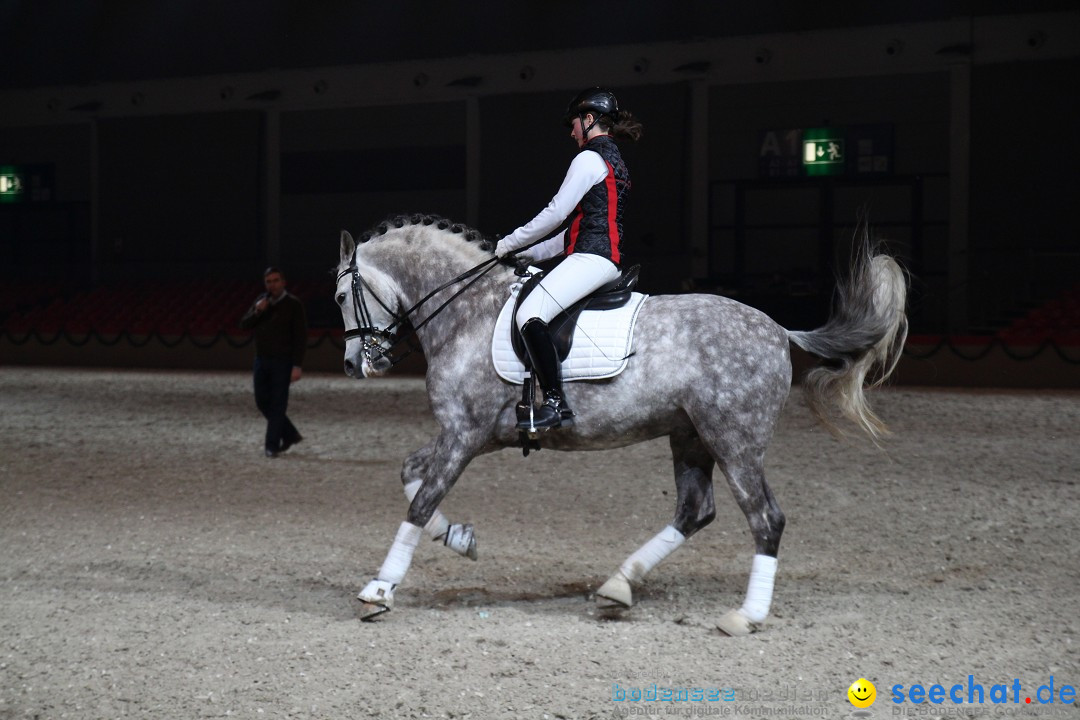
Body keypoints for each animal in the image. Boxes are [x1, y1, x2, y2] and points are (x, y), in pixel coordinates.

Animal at [332, 213, 907, 634]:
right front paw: (459, 538)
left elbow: (419, 501)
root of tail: (779, 329)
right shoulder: (477, 436)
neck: (467, 313)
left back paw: (745, 615)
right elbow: (411, 475)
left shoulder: (463, 435)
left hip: (734, 441)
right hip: (690, 437)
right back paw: (619, 586)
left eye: (339, 297)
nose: (356, 364)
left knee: (766, 519)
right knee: (695, 511)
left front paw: (379, 590)